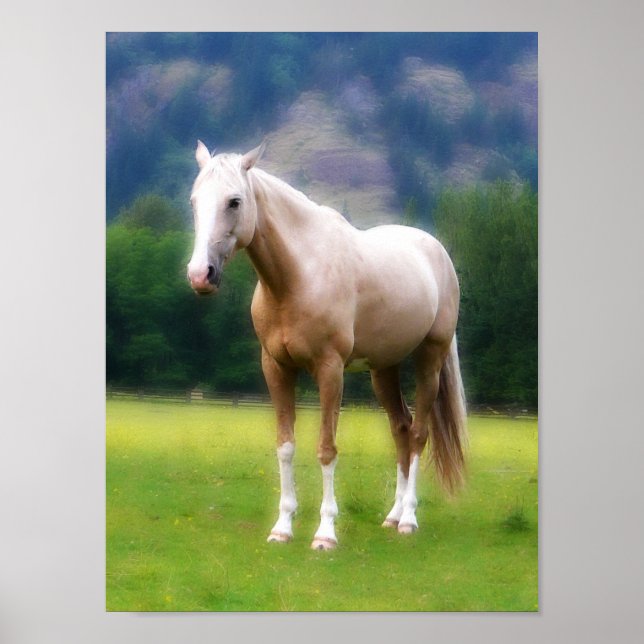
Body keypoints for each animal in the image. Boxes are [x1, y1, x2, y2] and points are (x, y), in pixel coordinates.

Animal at [187, 140, 467, 550]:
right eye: (194, 201)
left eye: (234, 201)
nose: (200, 275)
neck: (298, 276)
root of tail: (438, 253)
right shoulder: (276, 368)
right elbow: (286, 446)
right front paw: (282, 527)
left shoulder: (330, 370)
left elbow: (326, 449)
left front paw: (325, 533)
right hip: (384, 369)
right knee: (400, 430)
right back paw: (393, 514)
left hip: (429, 359)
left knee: (418, 434)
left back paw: (408, 520)